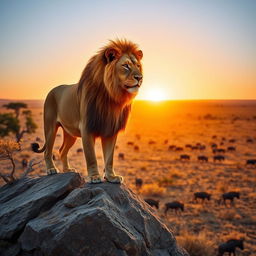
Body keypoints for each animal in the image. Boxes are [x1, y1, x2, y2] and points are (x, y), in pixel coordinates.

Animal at [32, 39, 143, 183]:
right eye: (126, 66)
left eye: (138, 66)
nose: (139, 77)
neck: (111, 97)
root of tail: (52, 90)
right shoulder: (87, 128)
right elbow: (91, 157)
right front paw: (94, 177)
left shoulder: (110, 130)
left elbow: (109, 158)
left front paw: (111, 177)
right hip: (50, 127)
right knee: (48, 151)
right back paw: (51, 169)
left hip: (70, 134)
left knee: (62, 150)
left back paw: (67, 170)